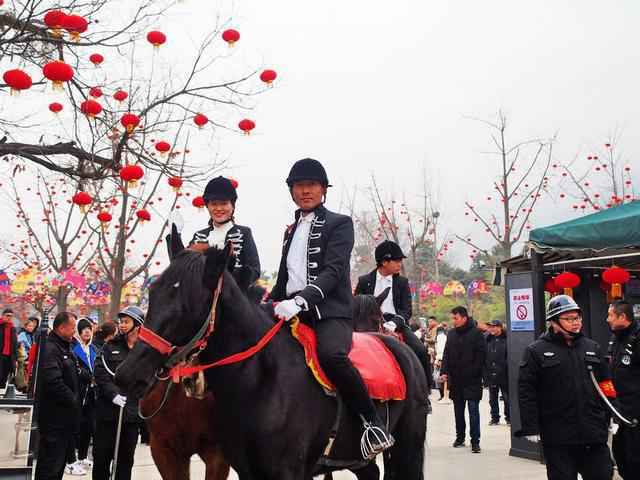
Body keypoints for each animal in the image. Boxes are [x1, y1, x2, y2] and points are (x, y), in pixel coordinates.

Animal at [115, 246, 428, 480]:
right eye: (152, 294)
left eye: (186, 305)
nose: (127, 374)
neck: (260, 379)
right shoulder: (240, 468)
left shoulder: (283, 471)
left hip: (408, 446)